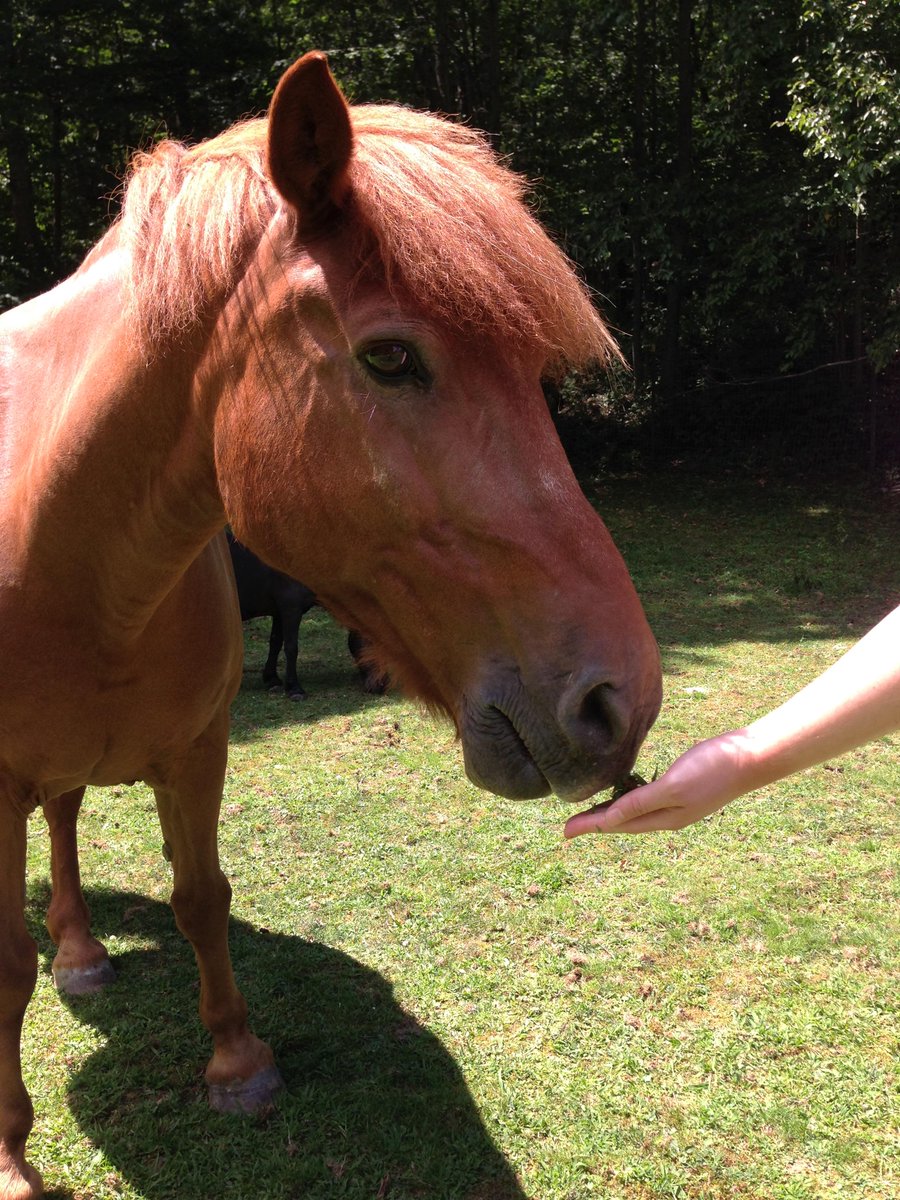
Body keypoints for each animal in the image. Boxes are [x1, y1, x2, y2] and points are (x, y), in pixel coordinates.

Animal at [0, 51, 661, 1199]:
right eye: (390, 359)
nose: (619, 700)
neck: (67, 543)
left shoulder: (198, 747)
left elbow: (202, 896)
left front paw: (237, 1062)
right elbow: (0, 969)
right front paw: (7, 1155)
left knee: (72, 819)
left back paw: (79, 954)